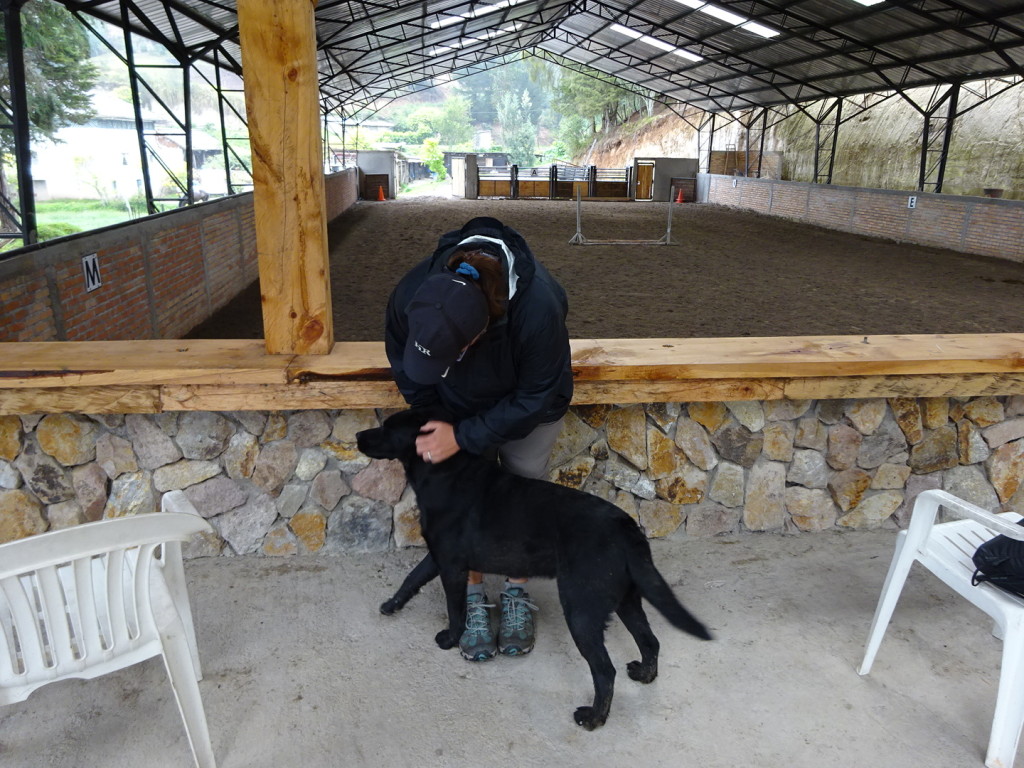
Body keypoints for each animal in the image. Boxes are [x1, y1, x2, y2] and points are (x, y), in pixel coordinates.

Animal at [358, 411, 712, 729]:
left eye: (388, 428)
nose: (359, 435)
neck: (442, 472)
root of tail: (627, 529)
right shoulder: (439, 556)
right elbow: (413, 577)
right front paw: (392, 604)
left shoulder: (452, 565)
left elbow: (454, 609)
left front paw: (449, 639)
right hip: (625, 599)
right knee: (650, 641)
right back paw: (644, 674)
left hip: (581, 610)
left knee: (605, 670)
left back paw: (593, 718)